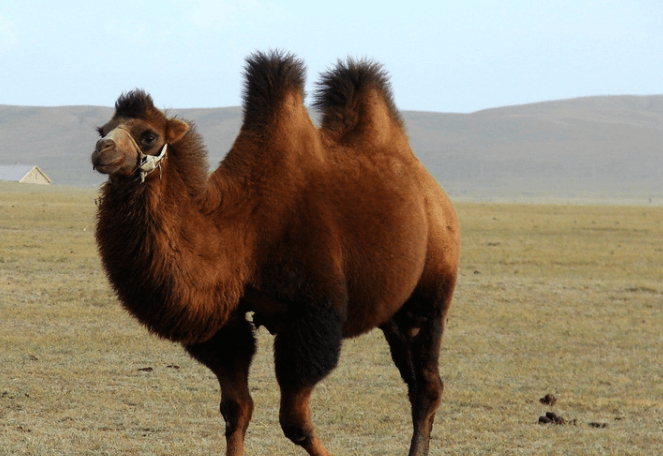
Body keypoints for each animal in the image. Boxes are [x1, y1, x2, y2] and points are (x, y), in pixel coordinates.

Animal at [91, 50, 460, 456]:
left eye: (148, 135)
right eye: (102, 129)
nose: (102, 151)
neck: (241, 234)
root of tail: (434, 194)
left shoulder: (312, 315)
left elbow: (294, 421)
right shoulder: (227, 322)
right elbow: (236, 409)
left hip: (432, 288)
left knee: (428, 383)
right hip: (393, 312)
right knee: (413, 379)